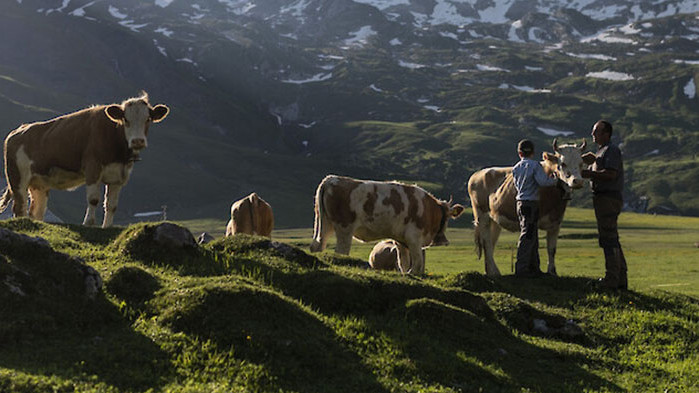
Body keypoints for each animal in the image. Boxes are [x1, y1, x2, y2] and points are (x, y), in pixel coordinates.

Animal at [0, 92, 170, 227]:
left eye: (148, 119)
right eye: (125, 120)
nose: (137, 141)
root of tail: (17, 131)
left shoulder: (118, 176)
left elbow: (111, 205)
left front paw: (107, 227)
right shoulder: (92, 167)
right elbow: (94, 199)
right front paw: (88, 223)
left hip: (39, 183)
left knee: (36, 211)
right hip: (17, 178)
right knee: (19, 207)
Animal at [310, 173, 464, 274]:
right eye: (447, 217)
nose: (443, 241)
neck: (429, 209)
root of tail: (331, 179)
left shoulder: (401, 241)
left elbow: (403, 263)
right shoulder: (414, 238)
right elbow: (416, 263)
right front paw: (412, 274)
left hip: (324, 223)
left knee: (318, 245)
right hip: (344, 228)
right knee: (340, 251)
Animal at [468, 138, 592, 276]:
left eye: (581, 163)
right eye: (563, 163)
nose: (578, 181)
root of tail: (478, 173)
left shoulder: (556, 222)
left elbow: (552, 249)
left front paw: (552, 271)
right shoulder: (535, 221)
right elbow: (534, 246)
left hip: (494, 220)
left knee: (491, 242)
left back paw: (491, 271)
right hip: (481, 215)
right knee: (486, 242)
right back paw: (494, 271)